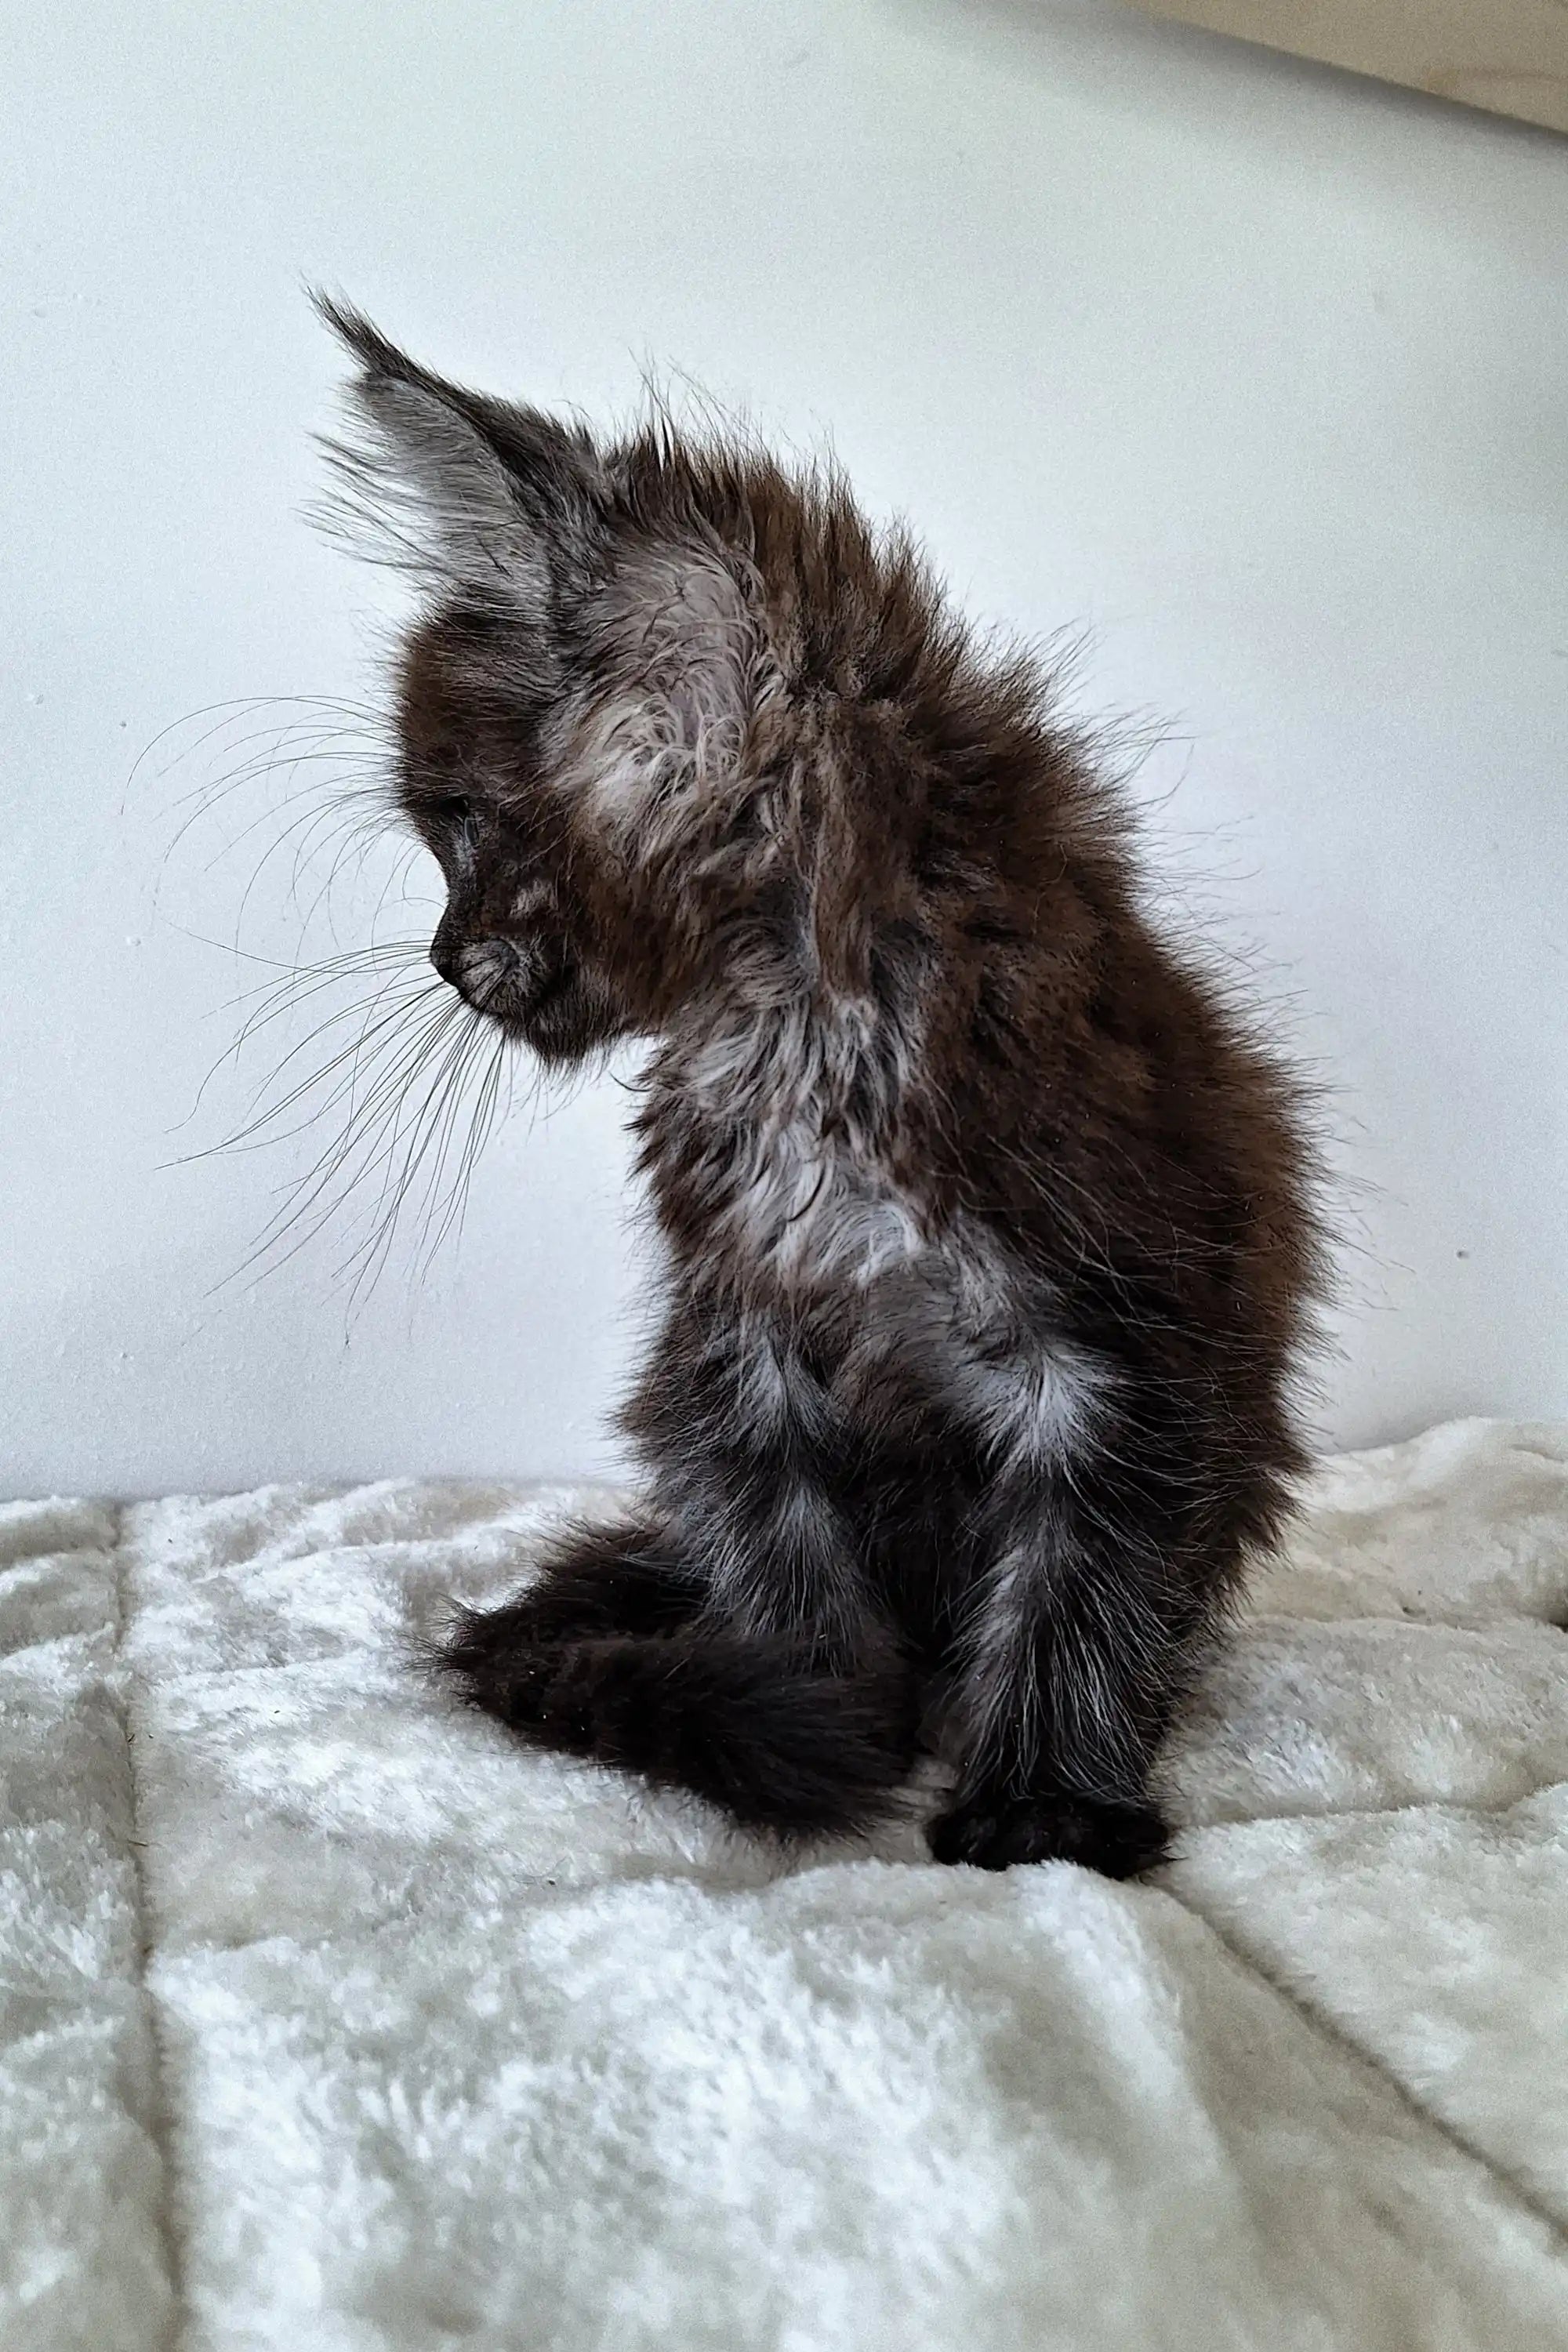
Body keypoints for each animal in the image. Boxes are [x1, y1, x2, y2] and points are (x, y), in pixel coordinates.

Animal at [319, 299, 1326, 1872]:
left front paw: (1043, 1807)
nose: (439, 955)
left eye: (462, 823)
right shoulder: (741, 1357)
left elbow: (1082, 1590)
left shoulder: (1127, 1351)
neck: (801, 1046)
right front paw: (823, 1724)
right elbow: (793, 1579)